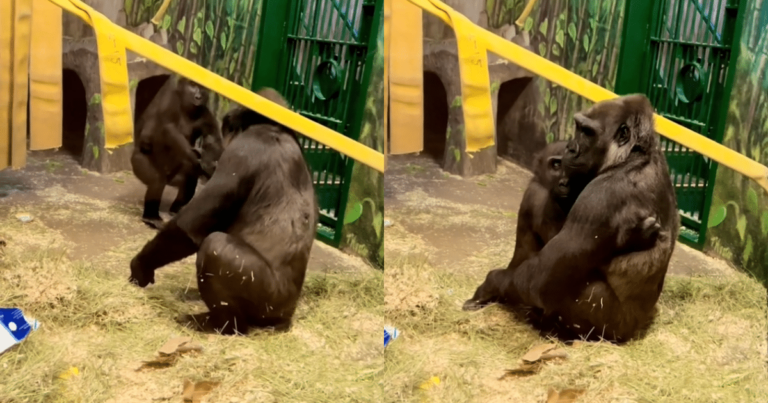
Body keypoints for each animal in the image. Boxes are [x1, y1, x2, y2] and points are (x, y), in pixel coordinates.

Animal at [130, 74, 222, 229]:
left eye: (202, 88)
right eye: (192, 85)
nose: (198, 96)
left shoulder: (206, 115)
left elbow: (212, 140)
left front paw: (209, 163)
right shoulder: (169, 99)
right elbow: (167, 128)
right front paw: (195, 157)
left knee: (189, 179)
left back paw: (175, 211)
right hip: (137, 163)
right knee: (157, 180)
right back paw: (151, 217)